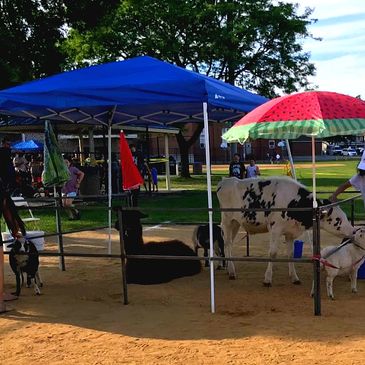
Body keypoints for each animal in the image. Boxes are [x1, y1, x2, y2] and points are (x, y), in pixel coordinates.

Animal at [215, 176, 354, 284]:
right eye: (338, 219)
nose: (353, 231)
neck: (294, 202)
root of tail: (225, 180)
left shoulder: (290, 232)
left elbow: (291, 254)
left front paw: (294, 277)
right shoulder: (275, 229)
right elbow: (272, 253)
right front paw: (267, 279)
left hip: (236, 223)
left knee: (229, 244)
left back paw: (229, 269)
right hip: (227, 221)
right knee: (227, 244)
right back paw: (232, 272)